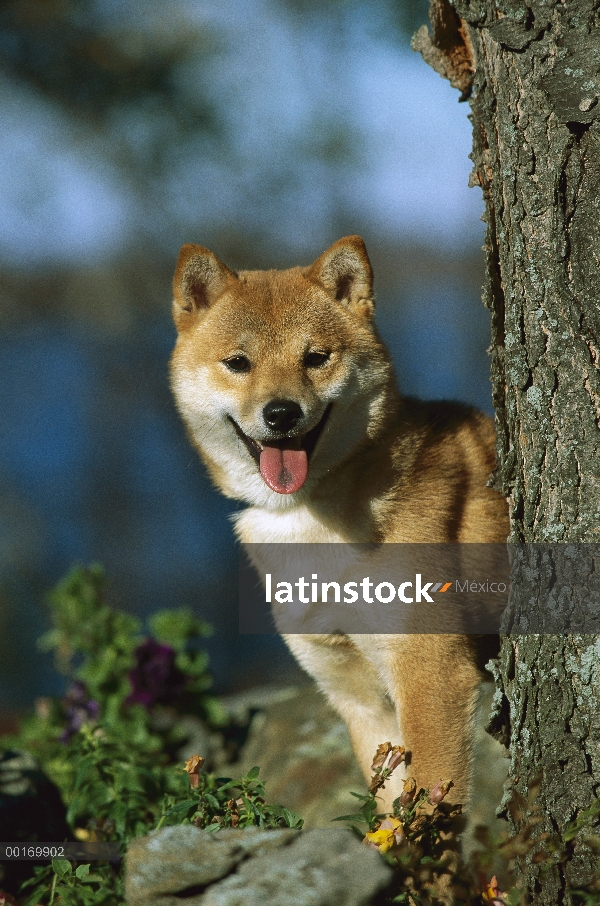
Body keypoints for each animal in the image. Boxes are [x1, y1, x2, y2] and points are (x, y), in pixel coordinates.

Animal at [168, 235, 506, 812]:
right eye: (238, 362)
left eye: (315, 358)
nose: (281, 413)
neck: (311, 516)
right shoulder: (358, 695)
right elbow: (389, 811)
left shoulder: (432, 675)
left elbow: (429, 810)